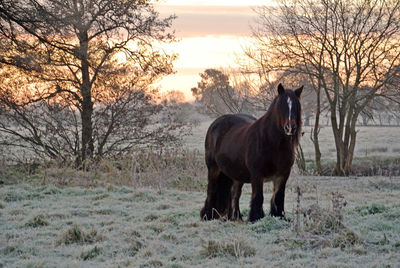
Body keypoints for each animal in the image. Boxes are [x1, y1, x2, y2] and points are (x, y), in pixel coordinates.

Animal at [200, 83, 304, 222]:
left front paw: (279, 217)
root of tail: (215, 124)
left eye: (297, 106)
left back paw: (236, 218)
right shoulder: (257, 175)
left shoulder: (282, 175)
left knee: (234, 194)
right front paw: (255, 218)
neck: (272, 143)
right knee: (211, 191)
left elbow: (278, 197)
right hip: (214, 169)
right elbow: (258, 197)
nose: (290, 128)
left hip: (235, 174)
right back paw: (207, 216)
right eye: (281, 106)